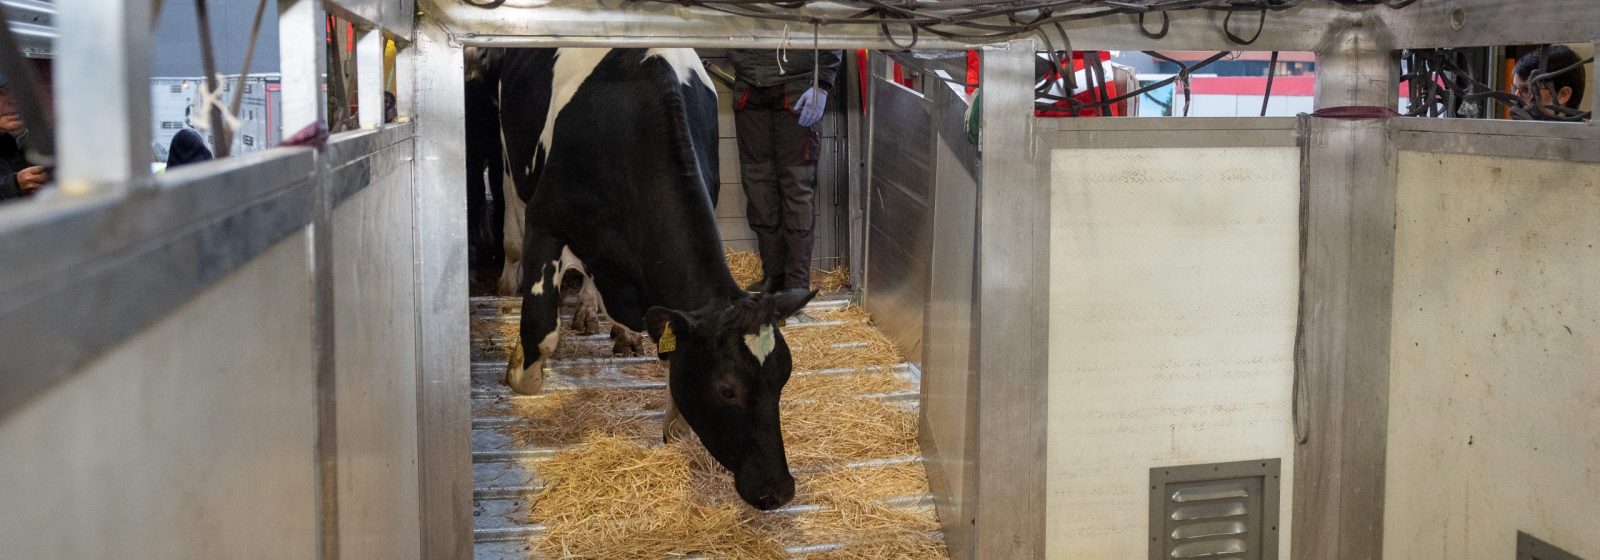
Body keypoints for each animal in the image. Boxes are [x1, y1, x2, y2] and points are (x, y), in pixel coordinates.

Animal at [486, 49, 812, 512]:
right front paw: (519, 371)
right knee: (512, 230)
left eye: (783, 377)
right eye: (726, 389)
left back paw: (608, 323)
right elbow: (540, 330)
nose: (779, 489)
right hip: (511, 164)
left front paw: (675, 421)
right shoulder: (546, 221)